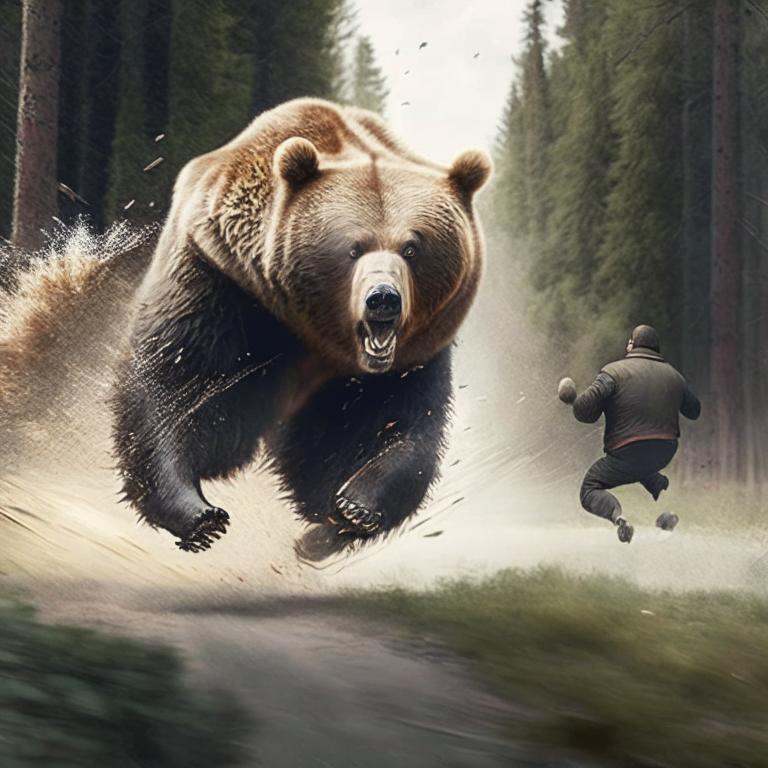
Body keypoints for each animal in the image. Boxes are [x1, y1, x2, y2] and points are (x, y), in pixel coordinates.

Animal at [113, 97, 491, 558]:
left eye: (412, 247)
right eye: (353, 247)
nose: (383, 298)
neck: (317, 328)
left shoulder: (411, 352)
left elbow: (390, 423)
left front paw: (356, 505)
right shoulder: (222, 280)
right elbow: (179, 384)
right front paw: (198, 514)